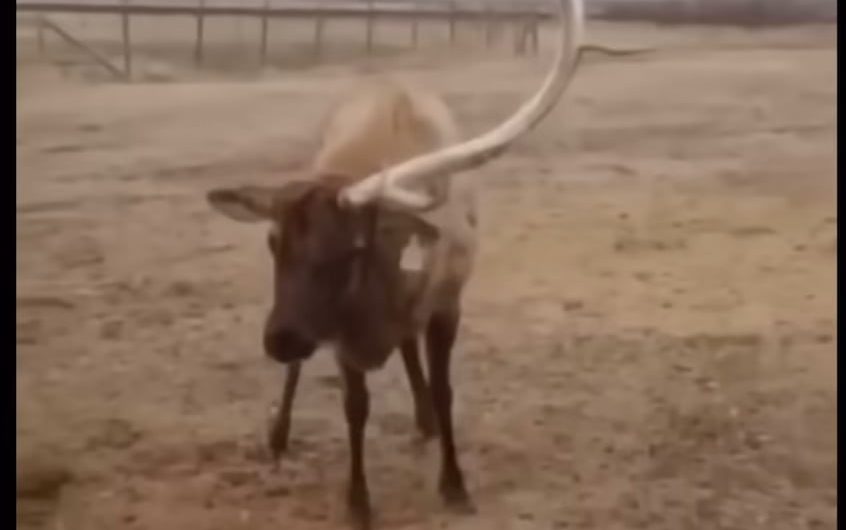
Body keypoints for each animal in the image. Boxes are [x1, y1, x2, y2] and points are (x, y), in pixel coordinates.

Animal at [205, 0, 584, 527]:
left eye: (350, 247)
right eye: (271, 241)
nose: (280, 339)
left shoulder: (447, 300)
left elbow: (445, 390)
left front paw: (454, 484)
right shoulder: (340, 333)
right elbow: (355, 406)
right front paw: (357, 501)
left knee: (409, 346)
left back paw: (423, 418)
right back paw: (279, 435)